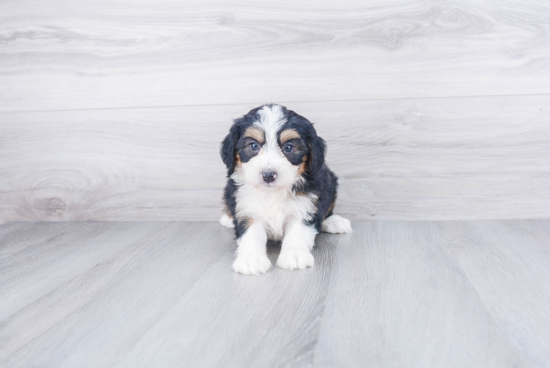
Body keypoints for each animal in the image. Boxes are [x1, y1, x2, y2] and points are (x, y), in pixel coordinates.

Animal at [219, 102, 352, 274]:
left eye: (288, 147)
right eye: (253, 146)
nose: (269, 175)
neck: (273, 193)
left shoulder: (305, 206)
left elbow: (297, 232)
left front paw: (295, 255)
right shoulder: (246, 207)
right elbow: (251, 234)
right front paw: (251, 259)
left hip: (330, 183)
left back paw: (334, 222)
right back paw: (227, 219)